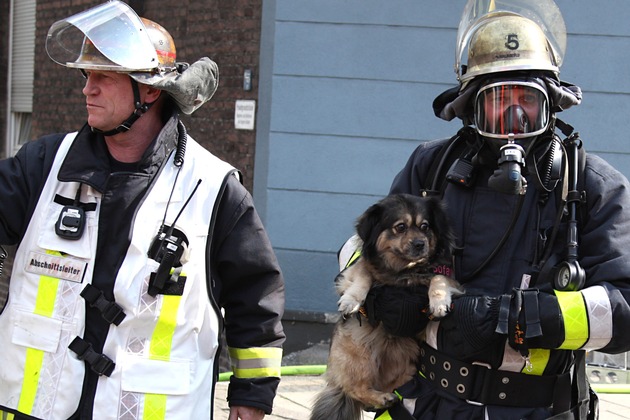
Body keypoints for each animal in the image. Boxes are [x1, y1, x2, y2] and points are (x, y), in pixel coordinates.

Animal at [312, 194, 464, 420]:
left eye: (425, 226)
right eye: (400, 227)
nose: (420, 244)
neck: (404, 270)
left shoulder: (450, 277)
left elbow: (438, 277)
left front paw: (438, 301)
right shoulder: (356, 270)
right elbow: (364, 273)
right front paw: (351, 299)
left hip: (407, 364)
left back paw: (385, 398)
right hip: (359, 352)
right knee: (354, 388)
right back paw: (382, 398)